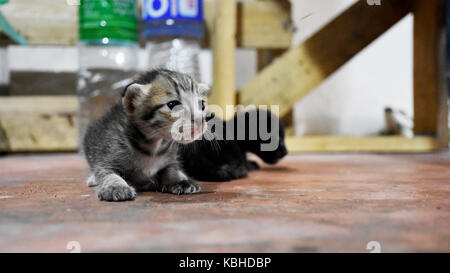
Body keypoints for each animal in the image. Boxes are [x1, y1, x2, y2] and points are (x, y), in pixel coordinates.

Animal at [83, 68, 210, 200]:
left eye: (202, 105)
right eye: (173, 104)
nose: (201, 120)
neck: (154, 146)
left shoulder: (170, 159)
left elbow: (171, 169)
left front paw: (179, 181)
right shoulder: (107, 155)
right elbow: (106, 172)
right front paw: (115, 186)